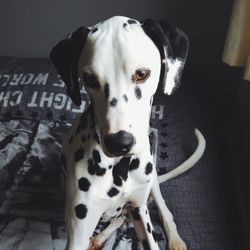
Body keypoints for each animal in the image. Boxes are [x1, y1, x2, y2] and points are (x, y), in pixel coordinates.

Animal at [49, 16, 206, 250]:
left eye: (142, 74)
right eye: (89, 79)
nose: (119, 143)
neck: (119, 168)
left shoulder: (140, 211)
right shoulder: (78, 232)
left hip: (152, 183)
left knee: (161, 209)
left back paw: (175, 239)